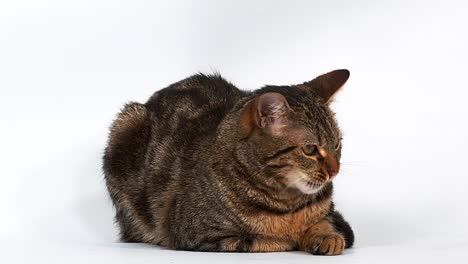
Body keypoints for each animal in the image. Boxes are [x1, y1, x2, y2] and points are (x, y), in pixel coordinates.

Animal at [103, 69, 354, 255]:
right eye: (310, 149)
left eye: (337, 144)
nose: (334, 171)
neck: (288, 204)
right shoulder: (200, 235)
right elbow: (268, 240)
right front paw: (295, 238)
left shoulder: (329, 212)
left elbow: (325, 222)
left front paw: (326, 235)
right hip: (126, 122)